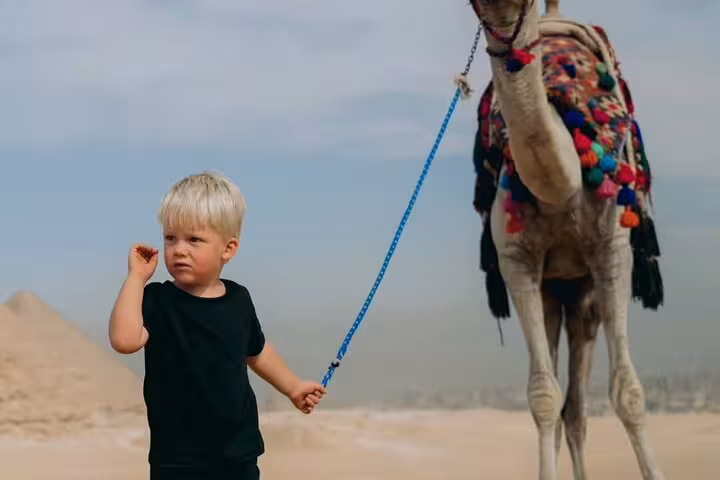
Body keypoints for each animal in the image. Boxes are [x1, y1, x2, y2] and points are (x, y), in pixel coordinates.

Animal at [467, 1, 665, 479]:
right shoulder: (516, 260)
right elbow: (542, 396)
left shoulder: (613, 250)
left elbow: (629, 392)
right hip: (552, 295)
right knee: (565, 407)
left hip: (586, 299)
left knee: (577, 408)